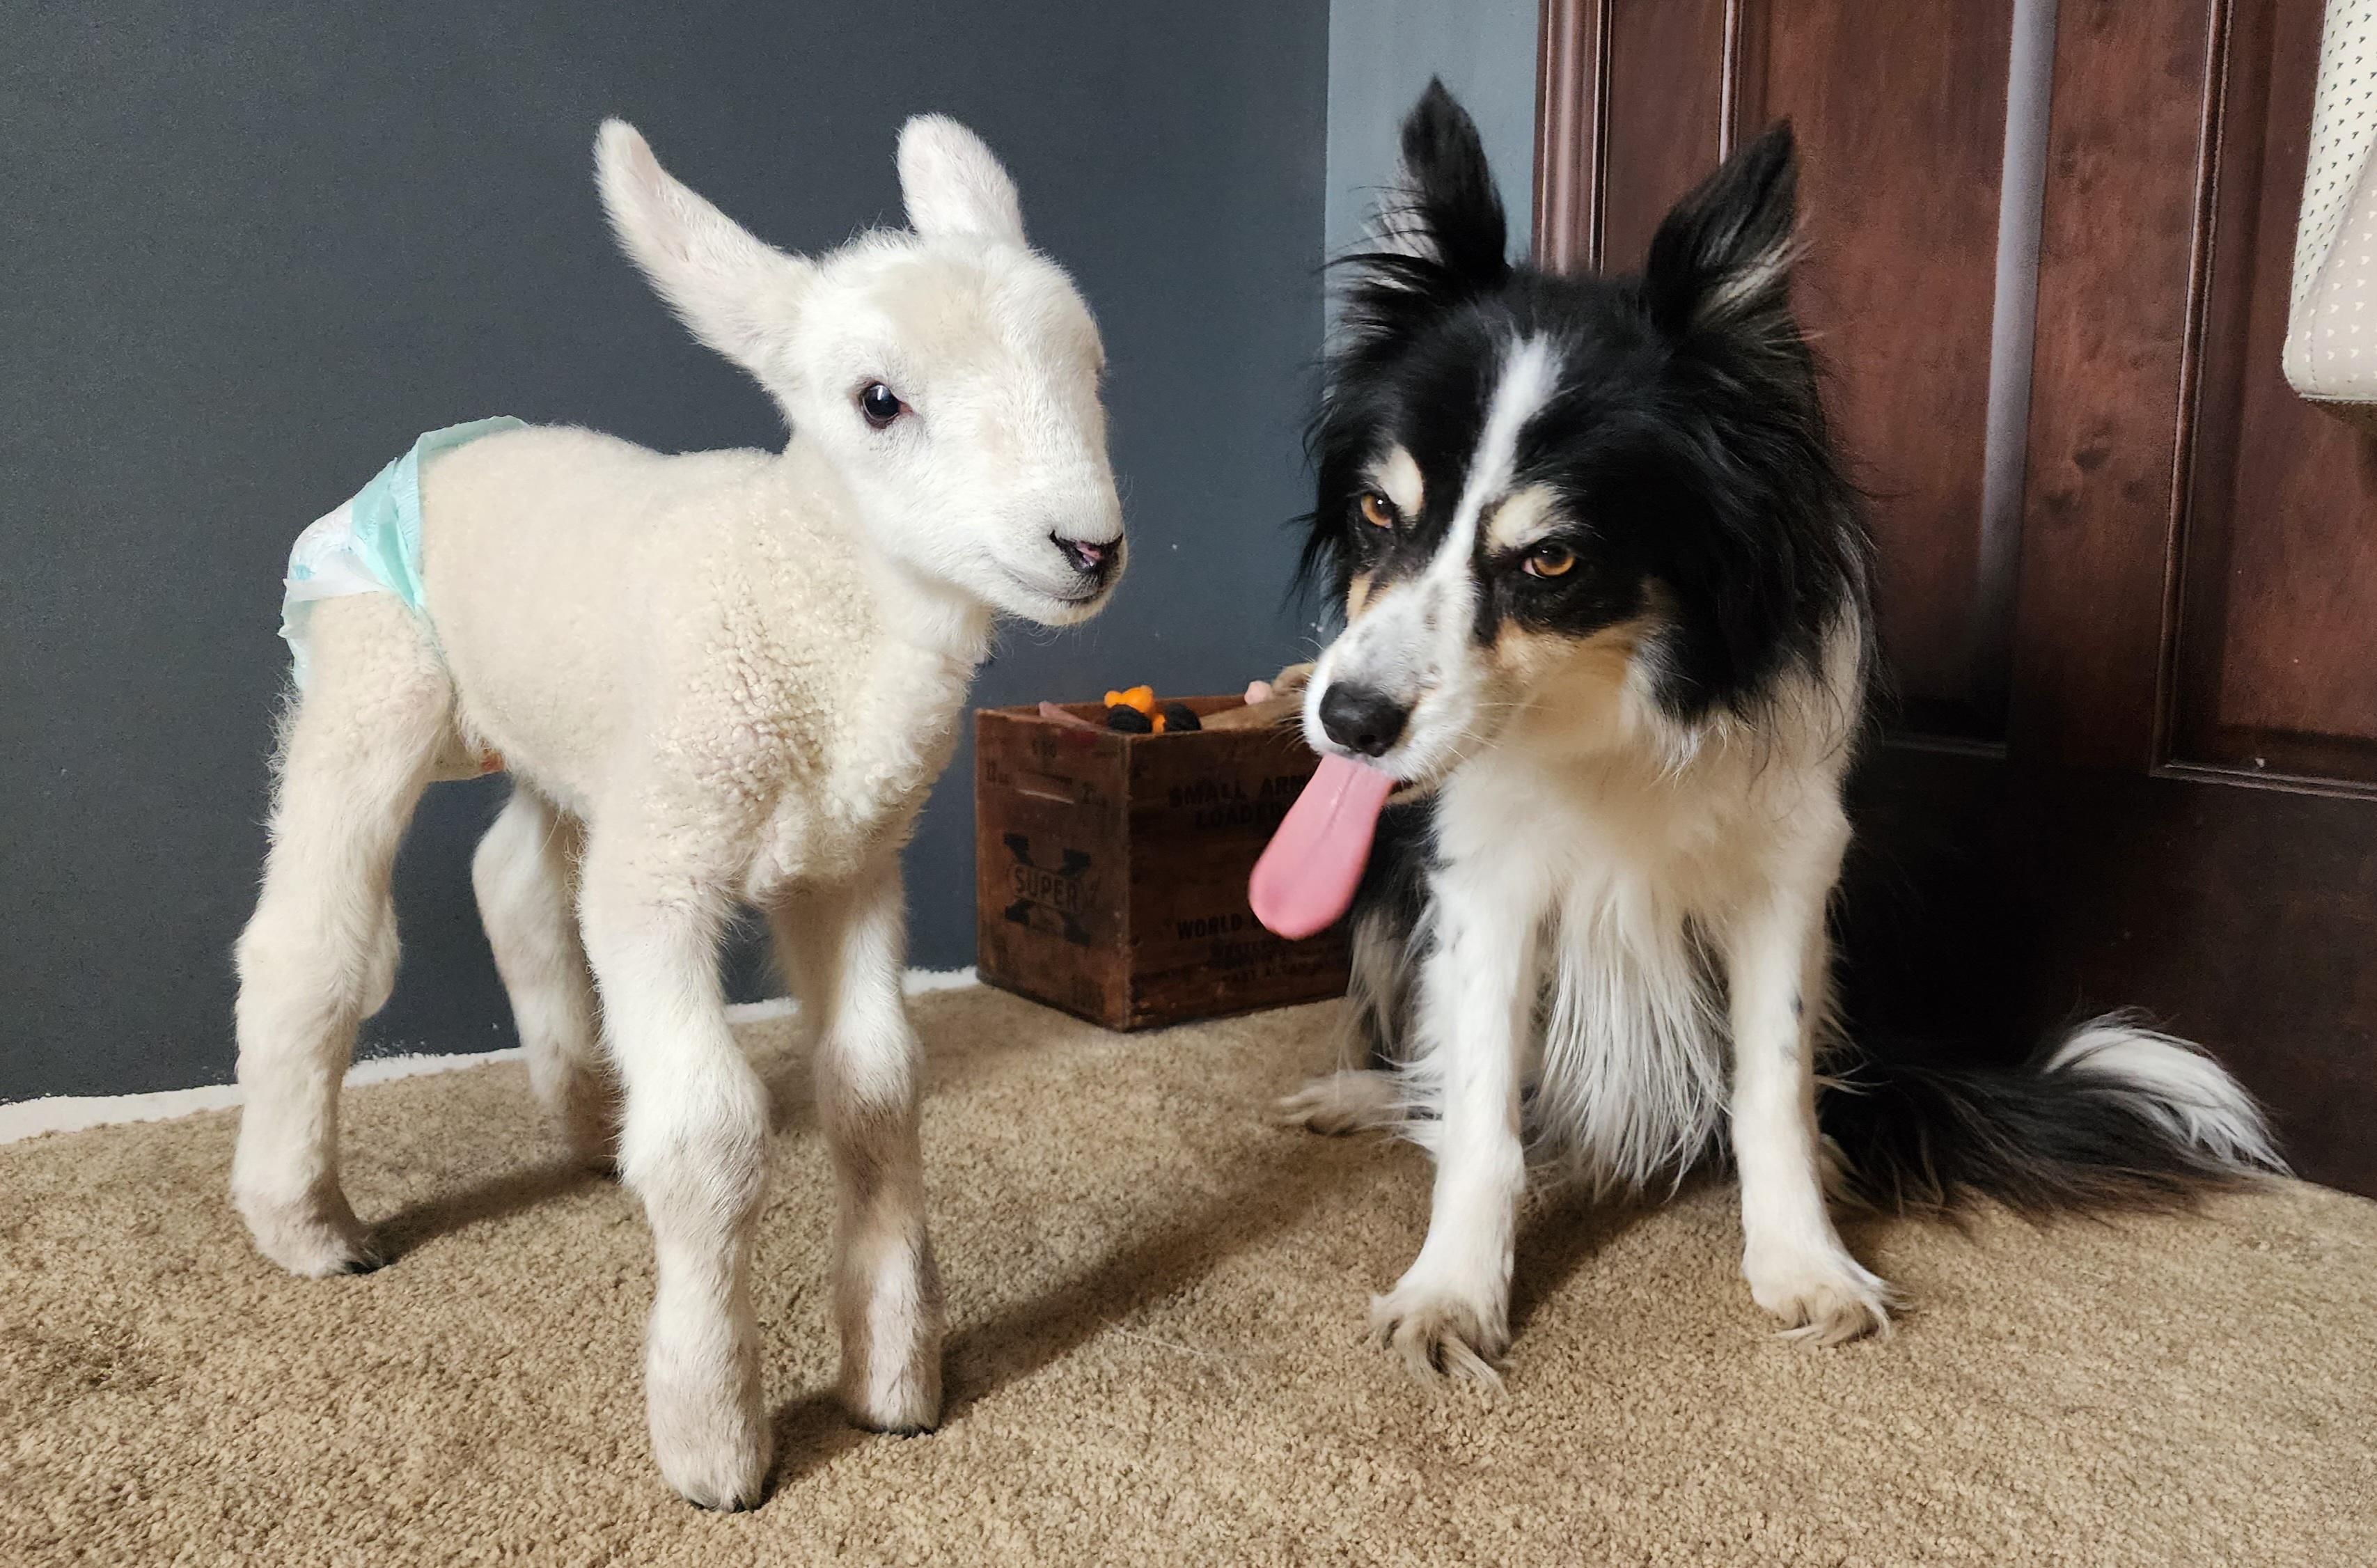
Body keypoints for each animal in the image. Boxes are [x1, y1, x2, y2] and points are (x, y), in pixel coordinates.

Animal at [227, 110, 1117, 1511]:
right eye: (877, 401)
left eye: (1093, 370)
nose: (1088, 548)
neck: (807, 601)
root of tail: (456, 438)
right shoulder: (666, 878)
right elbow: (709, 1136)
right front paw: (712, 1438)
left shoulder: (847, 864)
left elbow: (877, 1093)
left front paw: (894, 1381)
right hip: (381, 672)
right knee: (309, 944)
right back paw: (307, 1225)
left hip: (581, 745)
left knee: (515, 880)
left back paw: (592, 1117)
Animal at [1273, 82, 2272, 1387]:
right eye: (1374, 511)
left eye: (1552, 561)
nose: (1343, 722)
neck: (1622, 699)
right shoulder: (1478, 880)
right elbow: (1484, 1099)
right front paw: (1451, 1290)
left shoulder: (1789, 875)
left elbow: (1774, 1087)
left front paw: (1802, 1261)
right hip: (1386, 887)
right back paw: (1365, 1095)